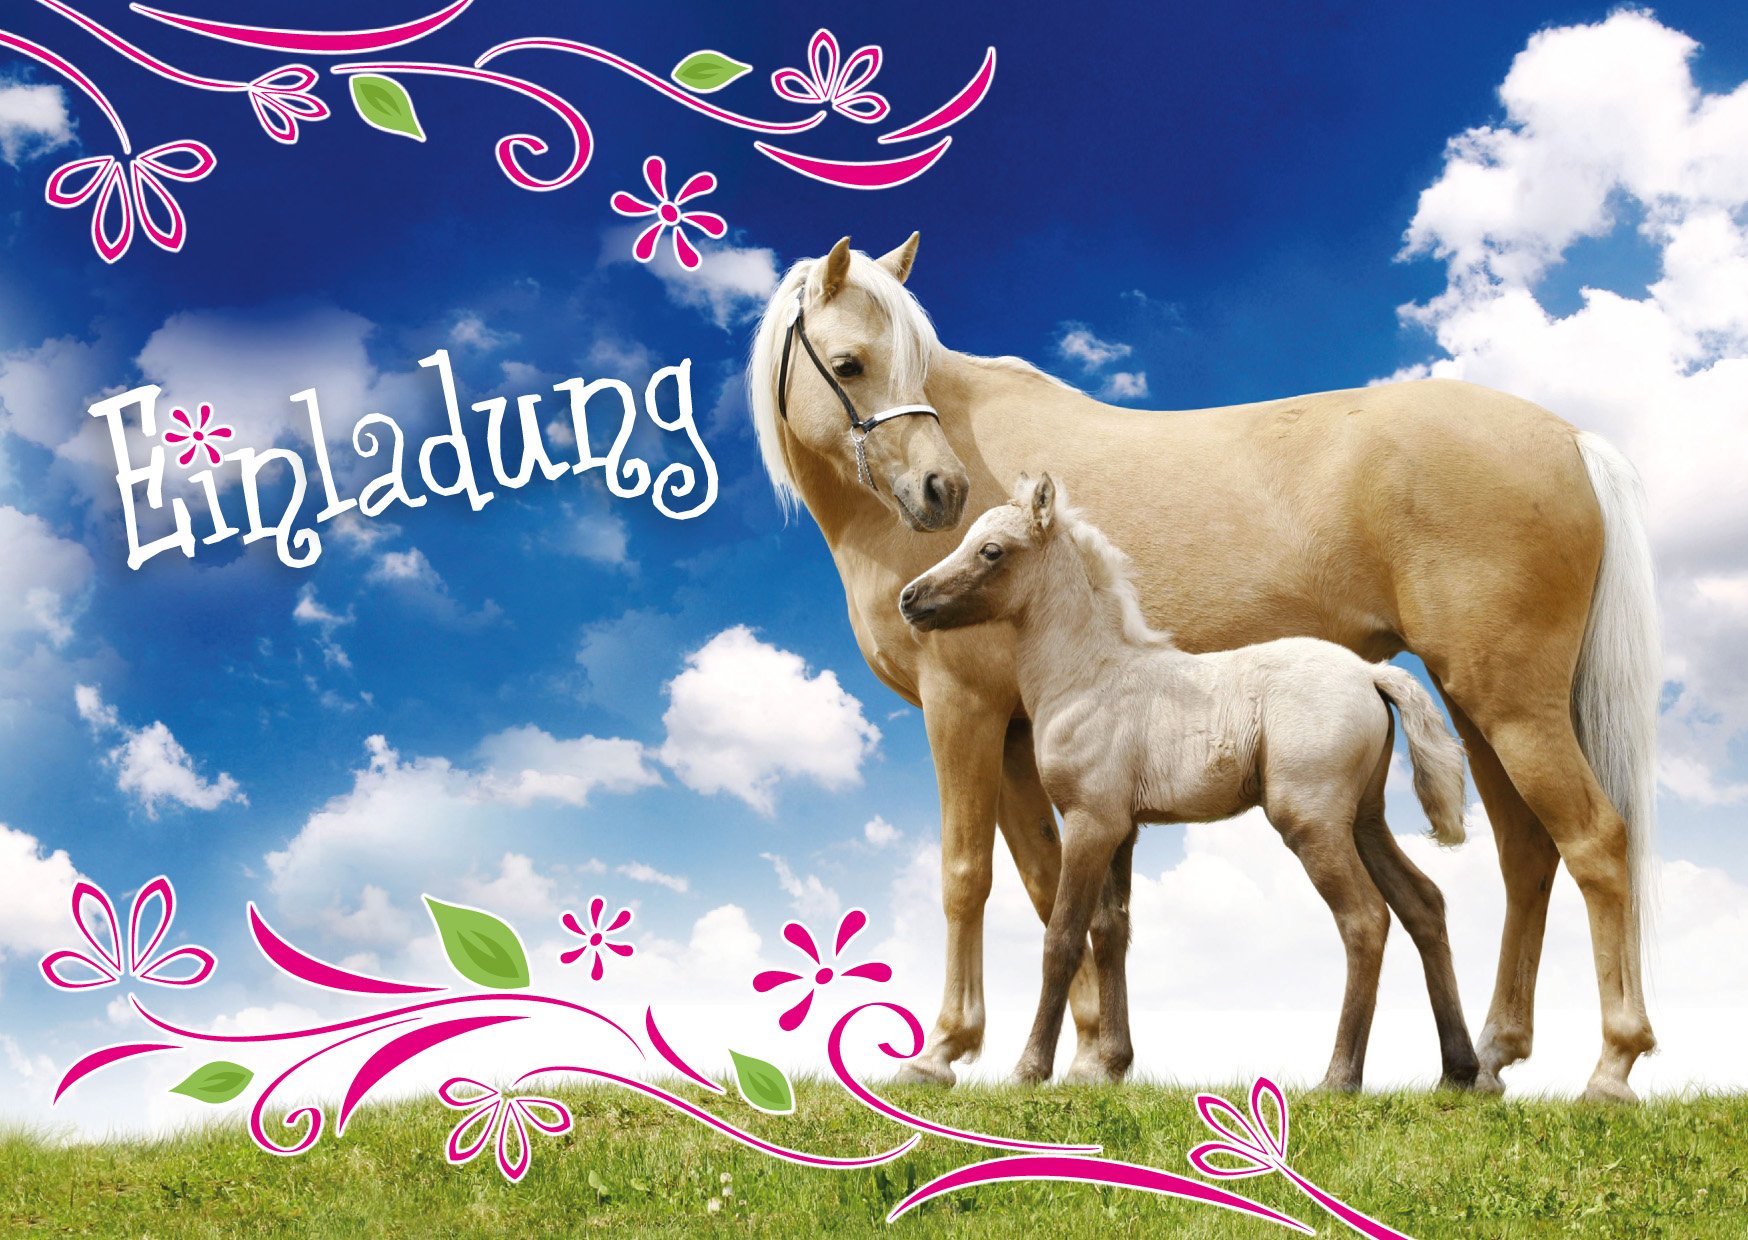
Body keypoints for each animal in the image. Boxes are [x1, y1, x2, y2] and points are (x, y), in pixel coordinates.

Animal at [901, 473, 1476, 1089]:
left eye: (991, 550)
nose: (909, 598)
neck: (1089, 678)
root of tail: (1370, 672)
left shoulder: (1089, 822)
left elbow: (1063, 936)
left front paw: (1030, 1069)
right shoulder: (1122, 830)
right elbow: (1110, 931)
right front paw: (1111, 1064)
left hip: (1312, 823)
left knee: (1365, 920)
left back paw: (1339, 1077)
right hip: (1364, 820)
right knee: (1423, 903)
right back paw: (1459, 1070)